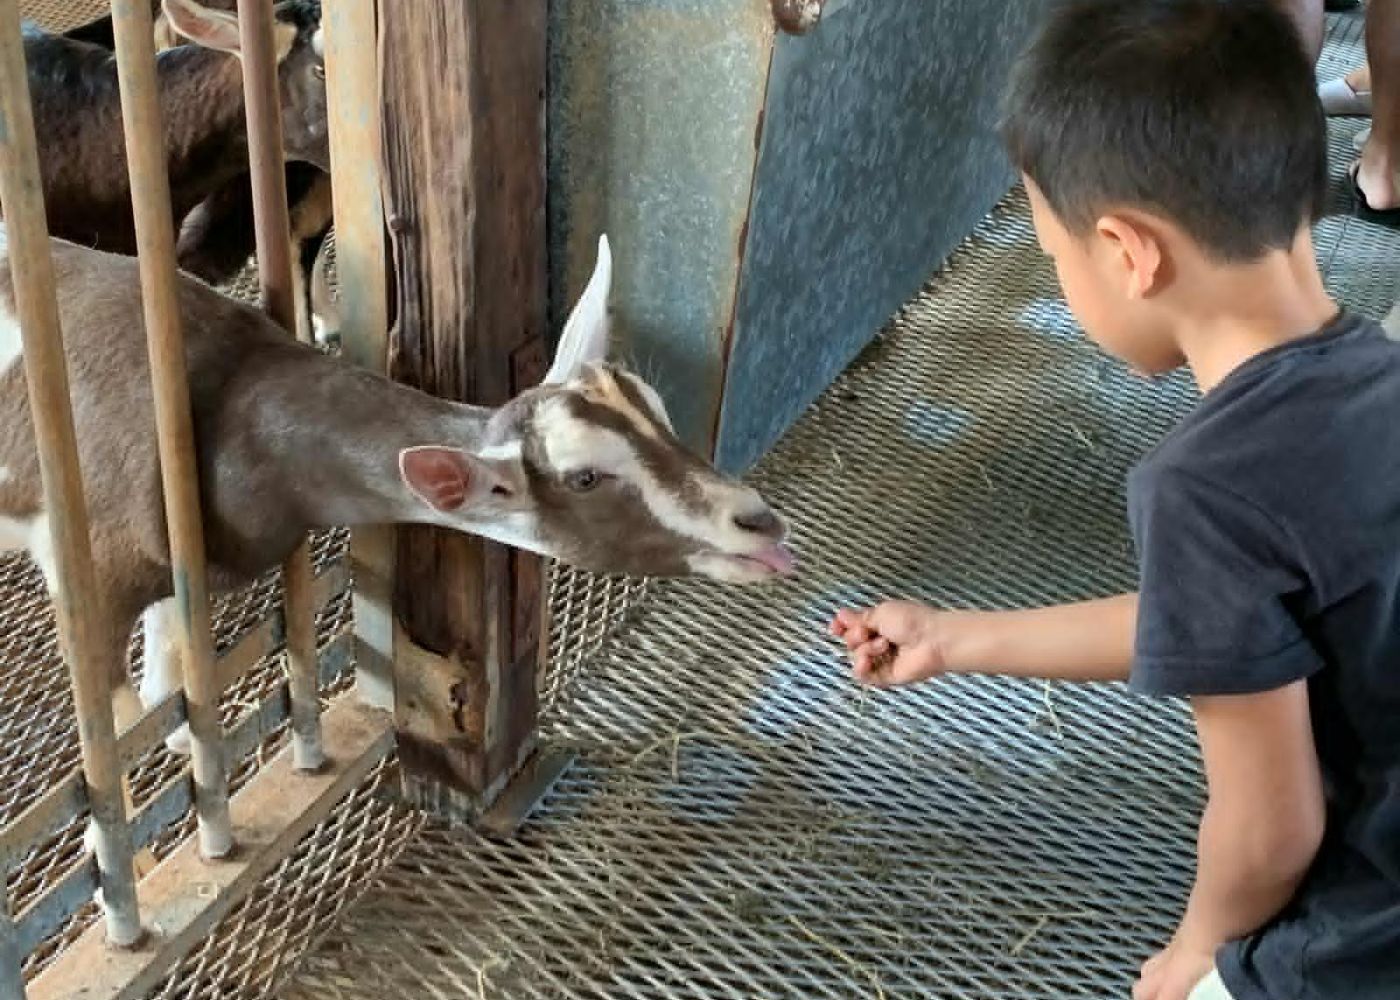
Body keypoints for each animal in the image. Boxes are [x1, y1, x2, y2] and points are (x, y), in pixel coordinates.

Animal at [0, 231, 794, 751]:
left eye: (656, 412)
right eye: (586, 478)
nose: (756, 522)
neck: (225, 405)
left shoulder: (178, 569)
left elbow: (170, 686)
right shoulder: (88, 575)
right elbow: (118, 749)